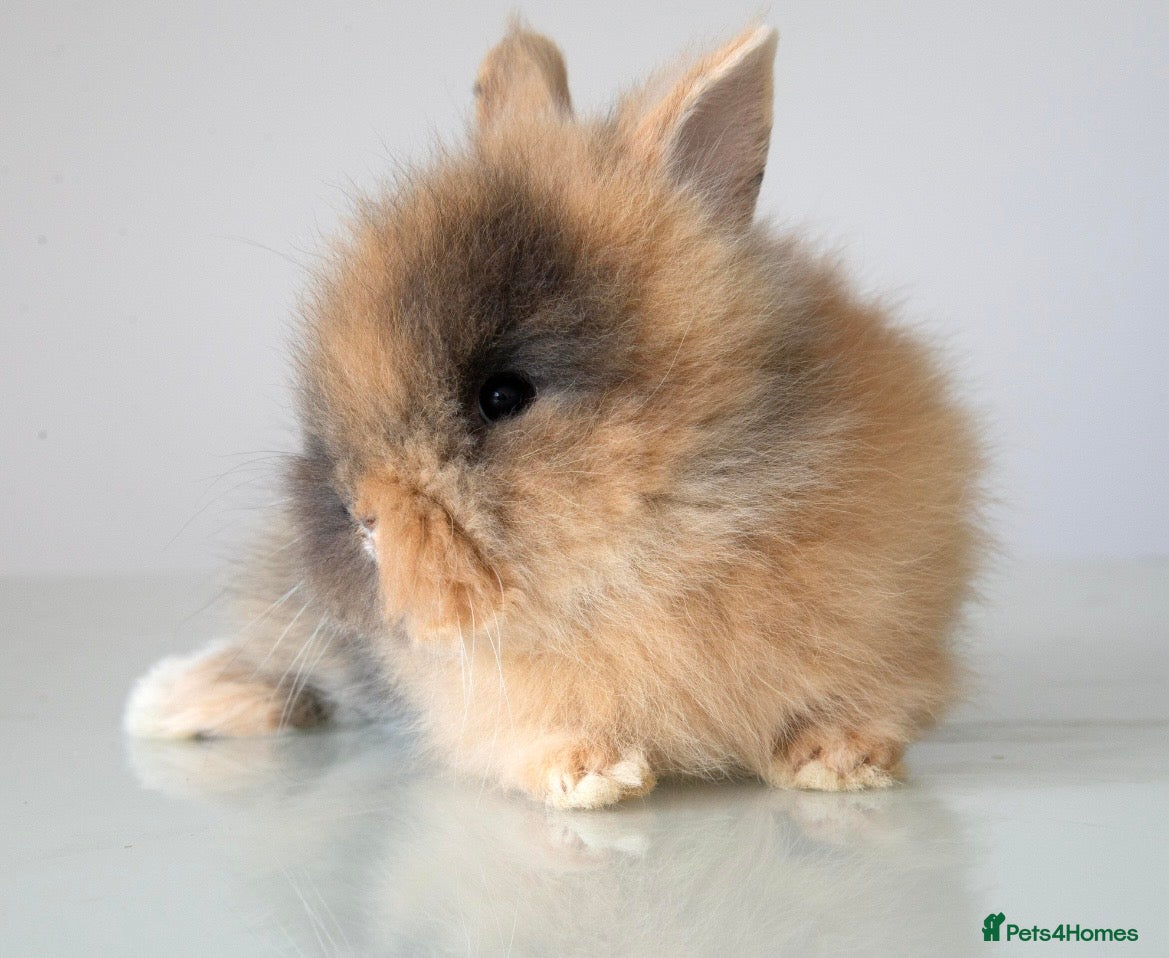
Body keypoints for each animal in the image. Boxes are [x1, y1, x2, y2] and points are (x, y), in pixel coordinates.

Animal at [125, 21, 984, 809]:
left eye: (502, 395)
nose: (357, 518)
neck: (676, 525)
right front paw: (593, 775)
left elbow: (856, 702)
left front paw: (838, 760)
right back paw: (173, 700)